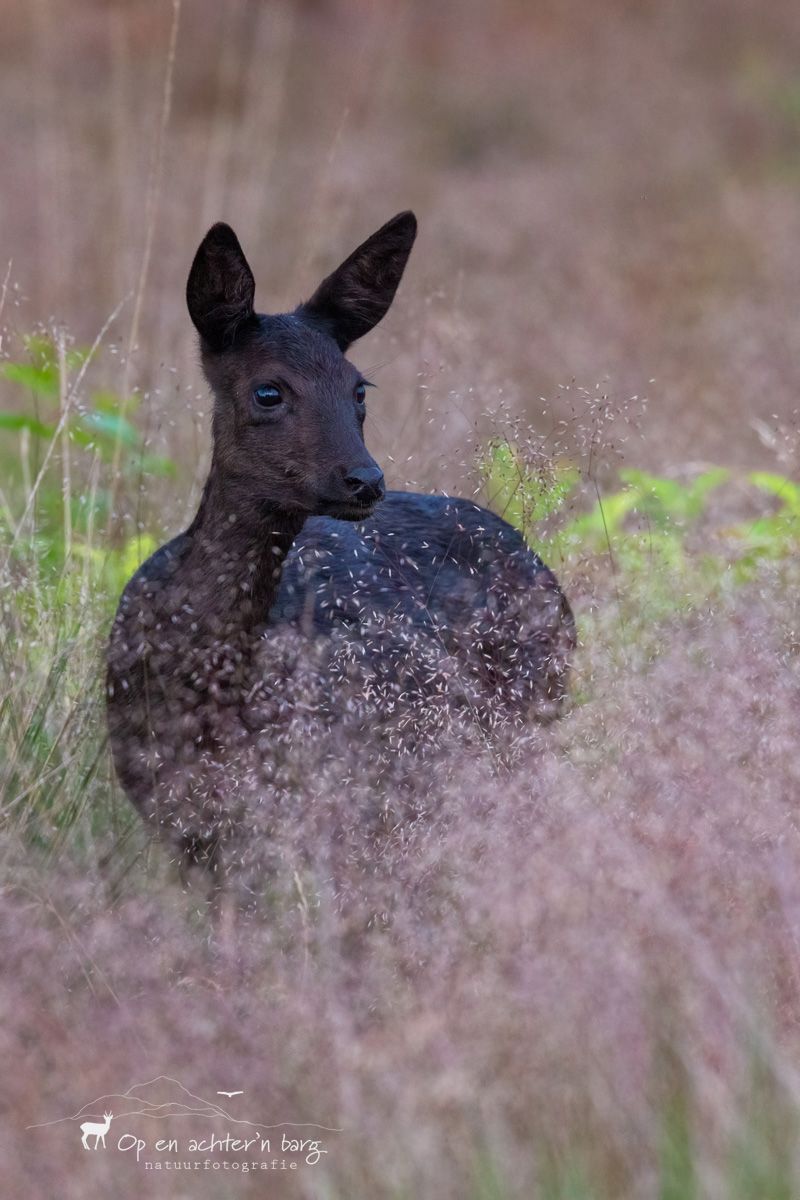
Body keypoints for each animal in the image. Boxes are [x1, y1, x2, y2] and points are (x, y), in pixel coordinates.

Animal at [106, 213, 575, 892]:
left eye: (359, 389)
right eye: (268, 391)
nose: (365, 480)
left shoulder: (334, 788)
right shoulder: (176, 814)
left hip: (523, 723)